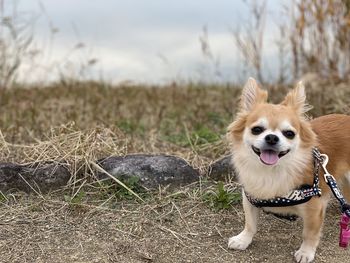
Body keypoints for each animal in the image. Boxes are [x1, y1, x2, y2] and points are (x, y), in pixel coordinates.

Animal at [226, 77, 350, 262]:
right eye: (257, 129)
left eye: (289, 133)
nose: (271, 137)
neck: (271, 171)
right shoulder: (250, 197)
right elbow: (250, 223)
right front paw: (243, 240)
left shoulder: (315, 208)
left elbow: (309, 233)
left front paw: (306, 252)